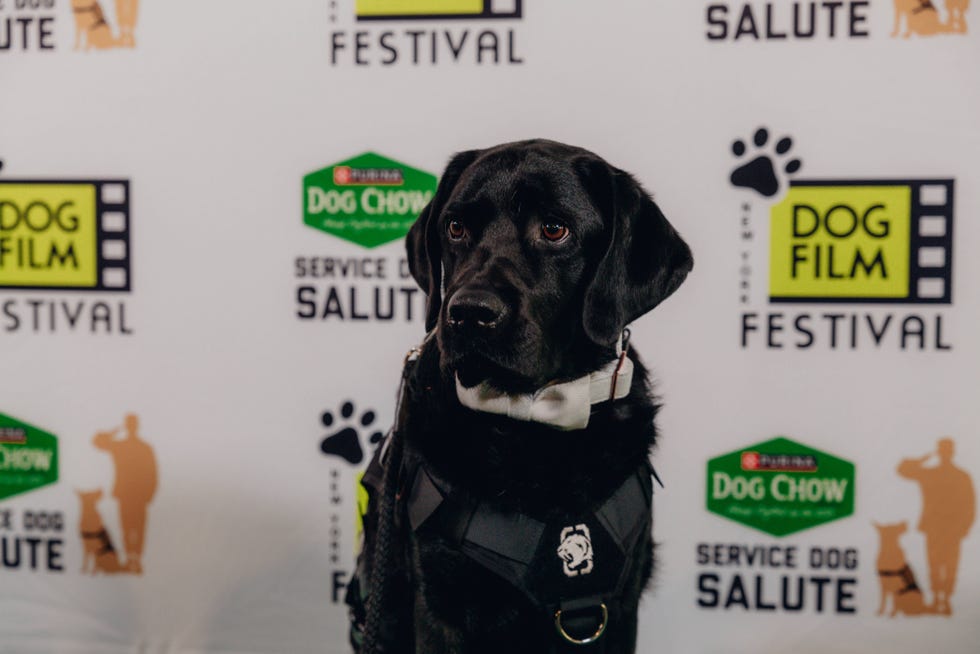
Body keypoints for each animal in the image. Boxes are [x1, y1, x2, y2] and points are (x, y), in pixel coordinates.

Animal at [348, 141, 692, 652]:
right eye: (455, 227)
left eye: (554, 229)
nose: (469, 313)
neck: (531, 425)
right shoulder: (439, 606)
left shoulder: (617, 610)